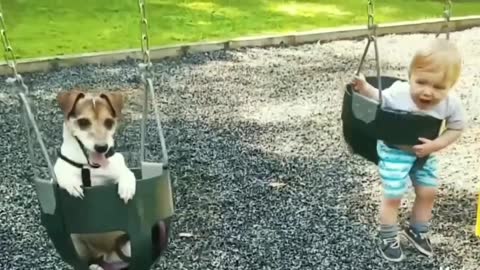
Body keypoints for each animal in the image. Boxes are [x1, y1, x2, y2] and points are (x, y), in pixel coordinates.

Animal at [54, 90, 137, 270]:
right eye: (83, 122)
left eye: (109, 122)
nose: (101, 148)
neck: (89, 167)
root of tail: (104, 255)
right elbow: (62, 173)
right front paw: (72, 185)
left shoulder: (117, 165)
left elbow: (128, 173)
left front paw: (127, 187)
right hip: (76, 241)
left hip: (127, 246)